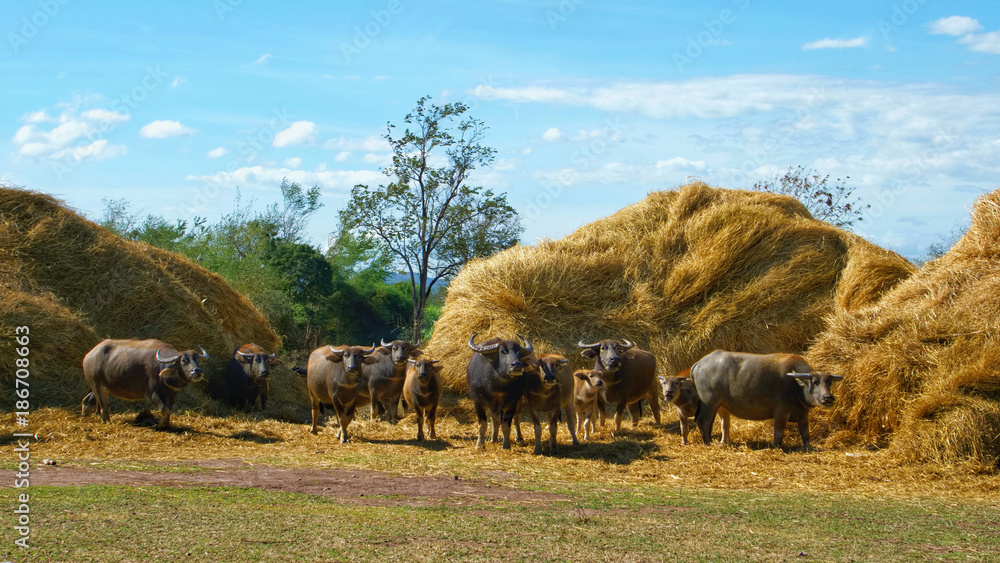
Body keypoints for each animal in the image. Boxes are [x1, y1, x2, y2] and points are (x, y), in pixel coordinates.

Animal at [688, 350, 844, 452]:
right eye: (815, 382)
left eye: (829, 382)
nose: (828, 397)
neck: (796, 387)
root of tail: (699, 363)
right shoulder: (781, 413)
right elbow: (778, 433)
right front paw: (777, 447)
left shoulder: (804, 415)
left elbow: (806, 434)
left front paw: (809, 448)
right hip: (709, 402)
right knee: (704, 421)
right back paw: (707, 443)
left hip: (721, 405)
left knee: (723, 424)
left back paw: (724, 442)